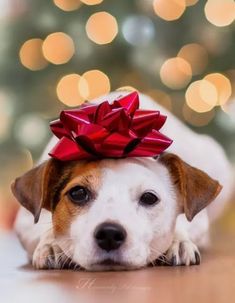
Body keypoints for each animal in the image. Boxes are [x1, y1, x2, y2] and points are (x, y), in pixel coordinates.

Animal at [11, 91, 233, 272]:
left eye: (149, 198)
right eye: (78, 193)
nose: (109, 234)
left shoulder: (198, 219)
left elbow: (183, 223)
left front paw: (178, 241)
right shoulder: (25, 222)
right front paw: (53, 244)